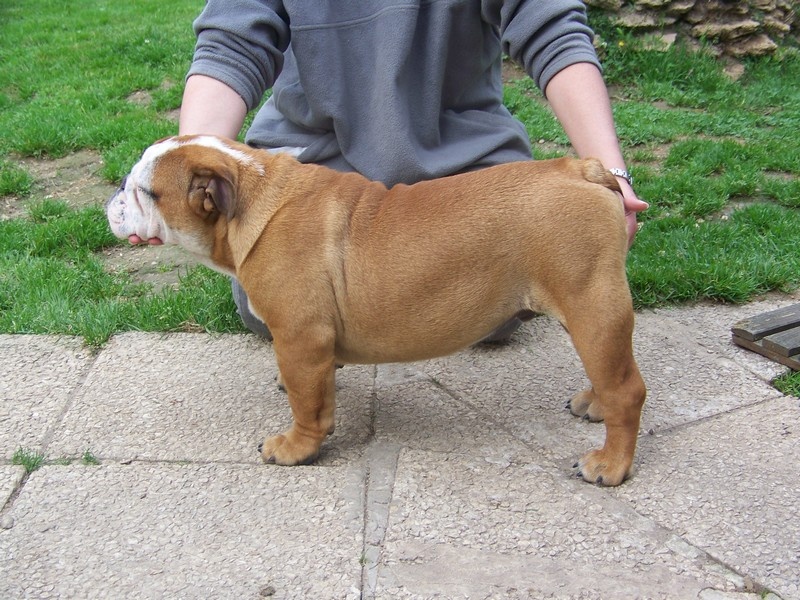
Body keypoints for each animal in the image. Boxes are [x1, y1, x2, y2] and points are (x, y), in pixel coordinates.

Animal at [106, 135, 646, 486]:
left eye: (144, 191)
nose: (115, 193)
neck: (252, 191)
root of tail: (581, 169)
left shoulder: (300, 336)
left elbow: (308, 407)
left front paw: (296, 449)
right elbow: (314, 387)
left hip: (592, 305)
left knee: (627, 389)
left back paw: (610, 464)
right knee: (612, 378)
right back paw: (593, 403)